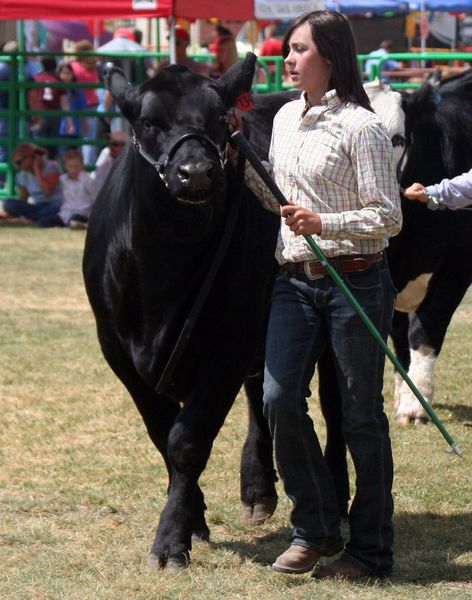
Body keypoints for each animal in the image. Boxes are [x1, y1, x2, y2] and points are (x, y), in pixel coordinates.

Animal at [82, 55, 294, 568]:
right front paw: (193, 517)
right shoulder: (117, 351)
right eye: (147, 122)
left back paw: (257, 487)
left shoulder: (227, 347)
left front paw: (171, 539)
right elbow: (162, 434)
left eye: (219, 118)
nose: (195, 172)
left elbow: (187, 441)